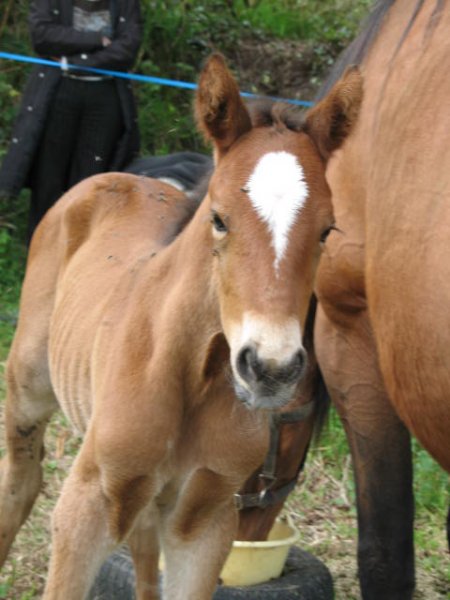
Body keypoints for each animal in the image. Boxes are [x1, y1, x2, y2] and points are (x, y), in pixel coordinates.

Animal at [0, 54, 360, 596]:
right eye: (219, 218)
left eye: (326, 231)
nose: (270, 368)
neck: (193, 372)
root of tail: (113, 177)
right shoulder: (87, 504)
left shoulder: (207, 521)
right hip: (29, 389)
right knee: (21, 483)